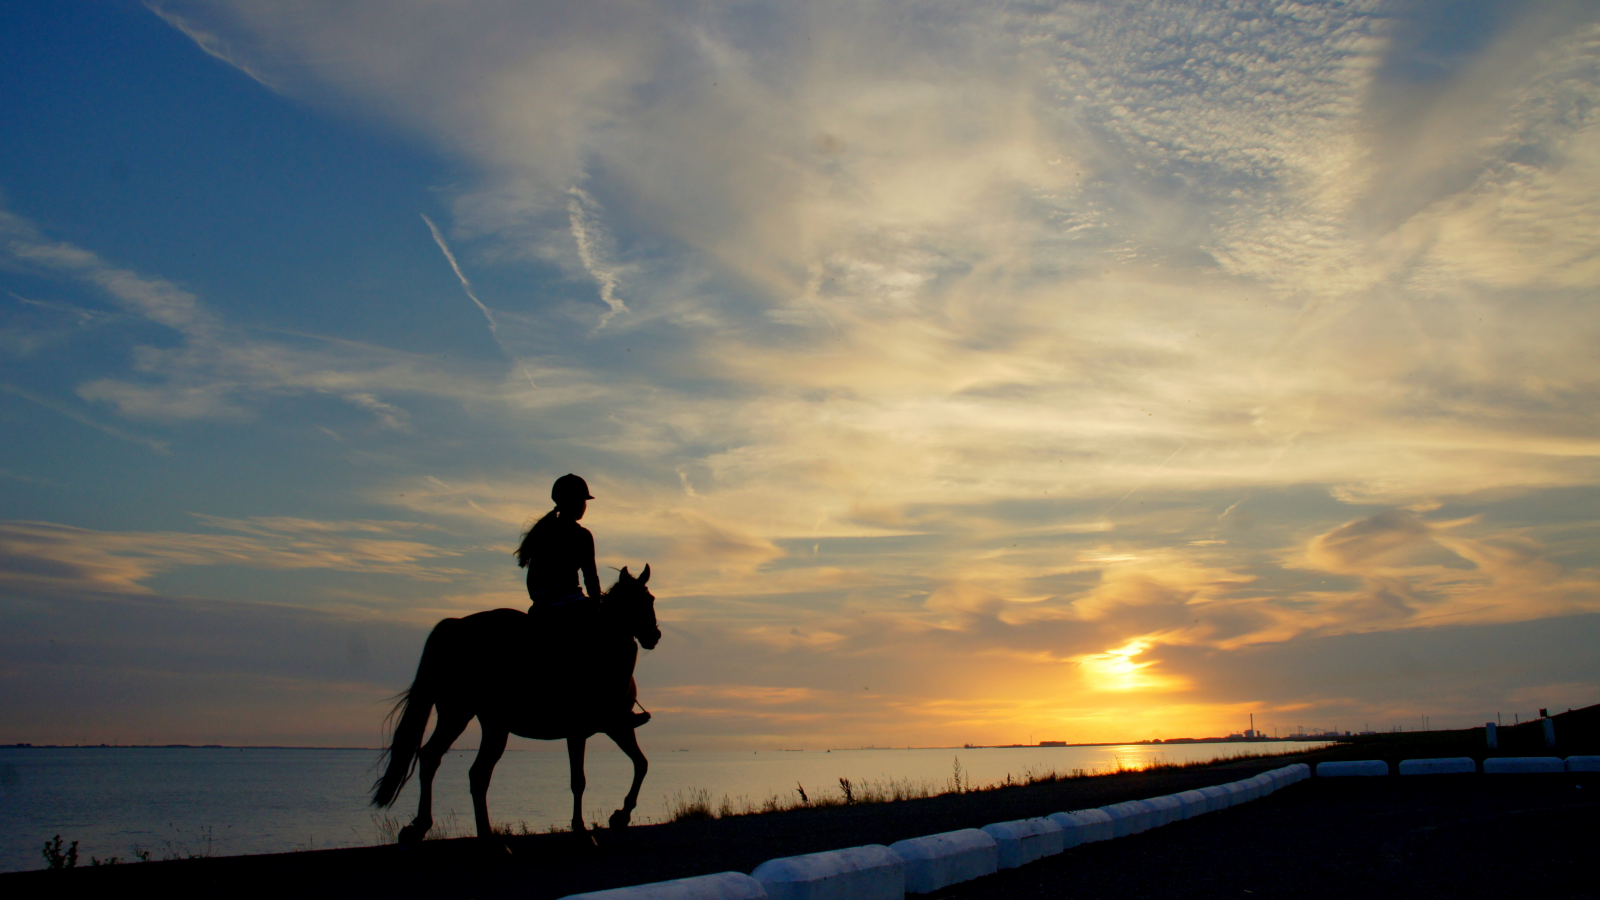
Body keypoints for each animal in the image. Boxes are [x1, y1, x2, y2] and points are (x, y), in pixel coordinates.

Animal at [371, 563, 659, 839]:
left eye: (651, 599)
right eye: (633, 602)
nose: (654, 636)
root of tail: (455, 627)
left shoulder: (618, 727)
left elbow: (641, 764)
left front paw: (621, 816)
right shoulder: (577, 730)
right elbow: (579, 780)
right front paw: (581, 827)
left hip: (485, 722)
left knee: (461, 768)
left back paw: (454, 830)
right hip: (460, 713)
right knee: (444, 761)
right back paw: (444, 829)